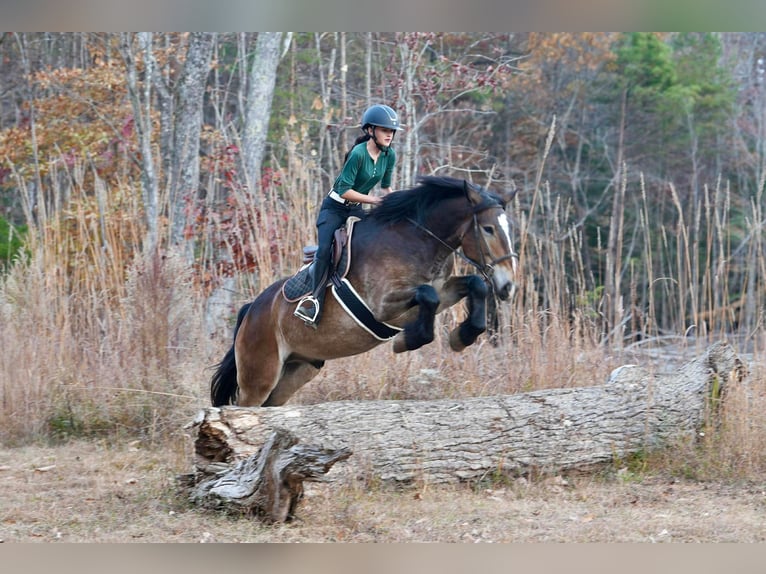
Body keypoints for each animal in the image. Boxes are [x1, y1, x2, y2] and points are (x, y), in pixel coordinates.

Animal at [210, 175, 518, 407]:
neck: (417, 241)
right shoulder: (383, 306)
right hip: (260, 375)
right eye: (488, 229)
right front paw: (408, 340)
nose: (508, 286)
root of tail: (251, 310)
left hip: (298, 369)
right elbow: (426, 298)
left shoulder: (442, 291)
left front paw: (462, 336)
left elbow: (475, 285)